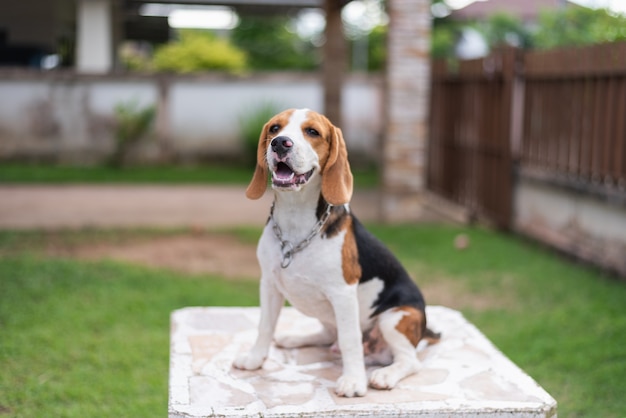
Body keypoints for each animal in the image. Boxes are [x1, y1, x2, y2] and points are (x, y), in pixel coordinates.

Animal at [232, 109, 436, 396]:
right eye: (274, 128)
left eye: (312, 132)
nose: (280, 143)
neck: (296, 221)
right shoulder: (269, 284)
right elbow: (264, 326)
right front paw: (254, 359)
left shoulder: (343, 294)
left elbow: (350, 340)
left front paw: (353, 381)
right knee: (330, 334)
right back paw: (294, 338)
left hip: (396, 317)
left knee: (409, 361)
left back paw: (385, 374)